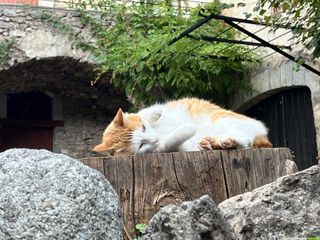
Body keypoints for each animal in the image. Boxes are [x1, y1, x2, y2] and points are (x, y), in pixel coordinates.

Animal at [92, 98, 272, 156]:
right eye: (141, 145)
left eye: (143, 128)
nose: (155, 139)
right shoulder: (168, 147)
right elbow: (172, 141)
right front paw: (188, 129)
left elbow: (146, 111)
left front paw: (156, 112)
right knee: (246, 142)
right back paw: (215, 143)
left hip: (223, 119)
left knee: (247, 140)